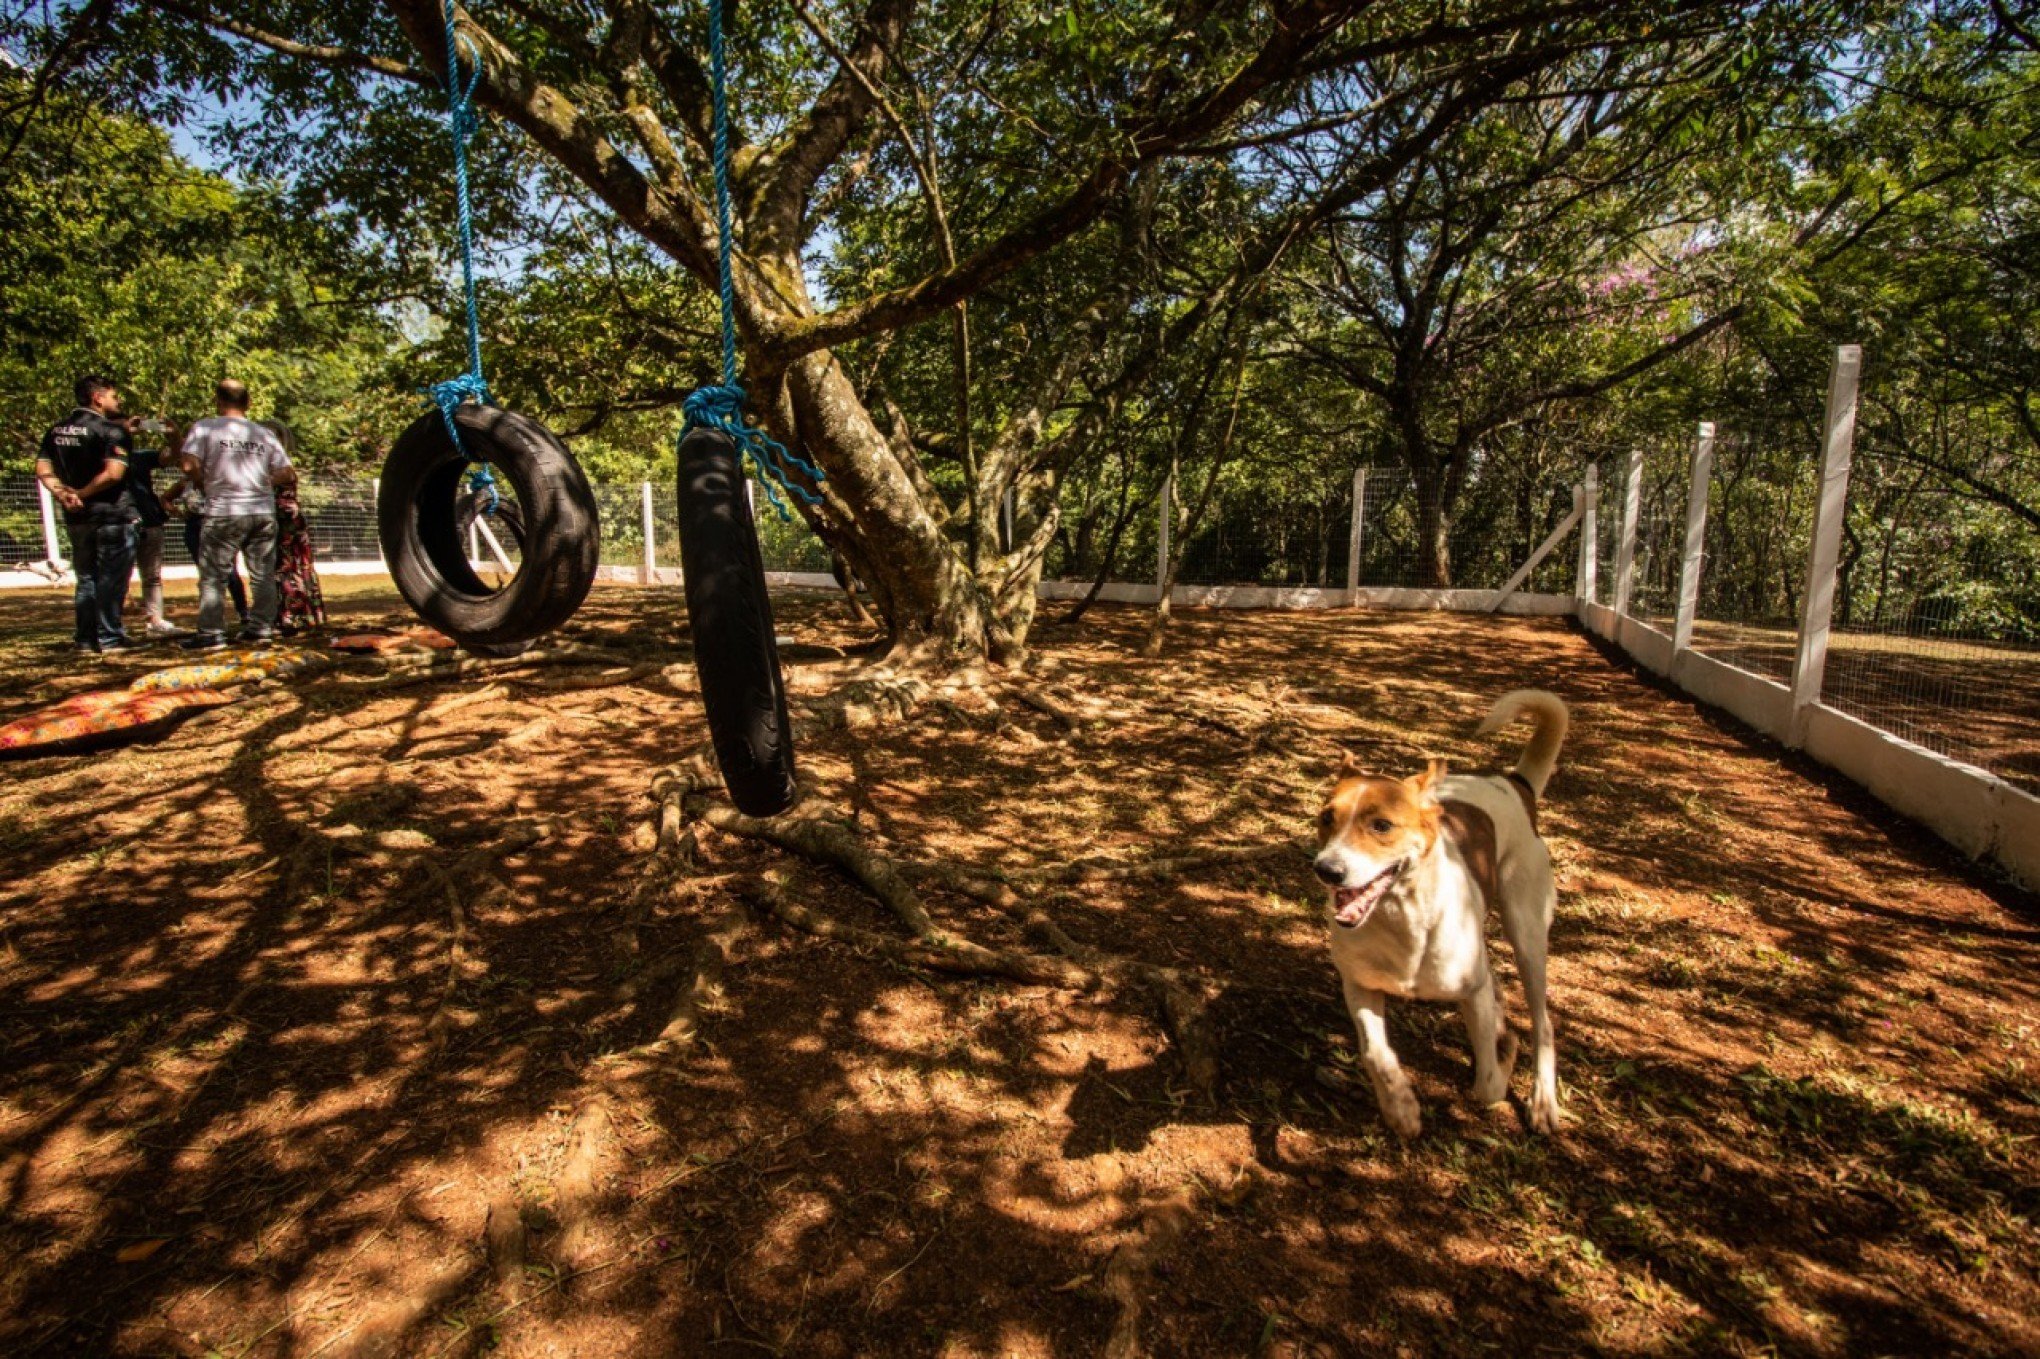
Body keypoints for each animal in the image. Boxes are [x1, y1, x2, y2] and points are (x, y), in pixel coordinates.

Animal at [1313, 689, 1566, 1134]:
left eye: (1382, 826)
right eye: (1327, 818)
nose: (1326, 870)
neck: (1402, 921)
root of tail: (1513, 783)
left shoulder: (1473, 991)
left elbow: (1488, 1085)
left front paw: (1503, 1054)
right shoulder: (1359, 985)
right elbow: (1377, 1056)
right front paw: (1400, 1107)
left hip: (1528, 934)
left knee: (1543, 1023)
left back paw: (1542, 1101)